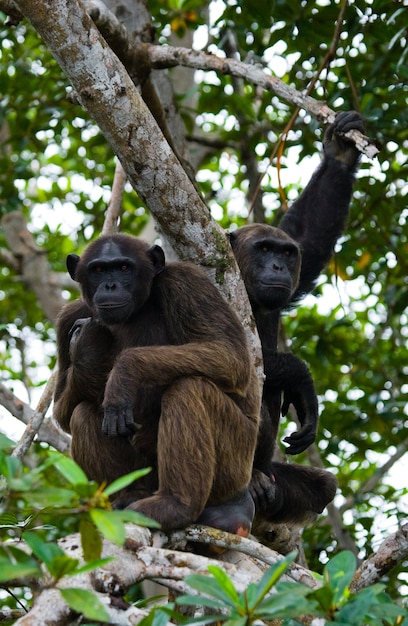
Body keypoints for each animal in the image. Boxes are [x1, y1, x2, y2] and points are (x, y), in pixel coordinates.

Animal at [53, 232, 258, 532]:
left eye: (124, 267)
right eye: (98, 269)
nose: (110, 285)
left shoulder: (186, 283)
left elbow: (229, 354)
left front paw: (122, 372)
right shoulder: (68, 318)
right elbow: (61, 412)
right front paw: (88, 346)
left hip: (237, 462)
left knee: (189, 389)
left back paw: (176, 505)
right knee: (82, 414)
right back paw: (129, 496)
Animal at [230, 111, 366, 520]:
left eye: (286, 253)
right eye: (263, 249)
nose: (277, 265)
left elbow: (308, 235)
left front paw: (340, 153)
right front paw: (304, 383)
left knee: (321, 487)